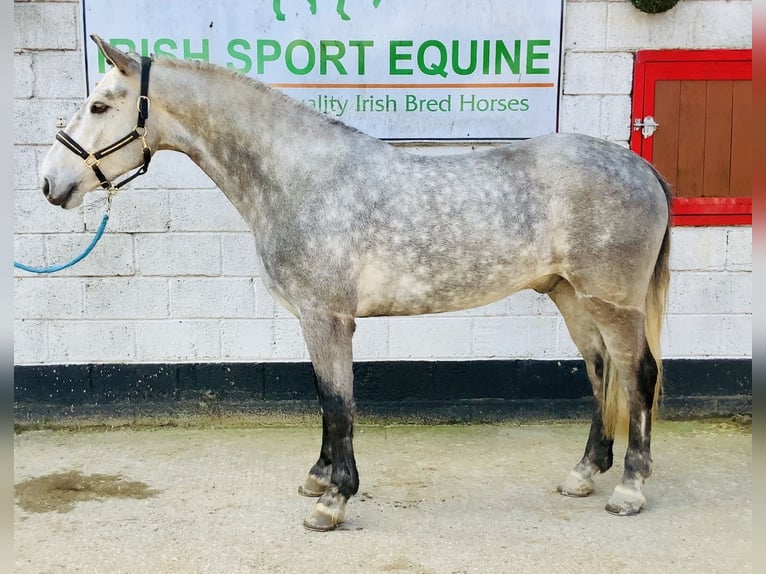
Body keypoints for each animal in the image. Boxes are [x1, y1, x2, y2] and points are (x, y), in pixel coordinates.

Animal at [40, 36, 671, 531]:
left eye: (99, 104)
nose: (50, 182)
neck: (299, 178)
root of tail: (642, 169)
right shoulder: (314, 318)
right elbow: (326, 400)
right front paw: (320, 478)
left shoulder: (328, 317)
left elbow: (339, 403)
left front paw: (333, 502)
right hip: (571, 294)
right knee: (601, 370)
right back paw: (584, 473)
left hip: (612, 301)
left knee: (637, 374)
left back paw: (629, 489)